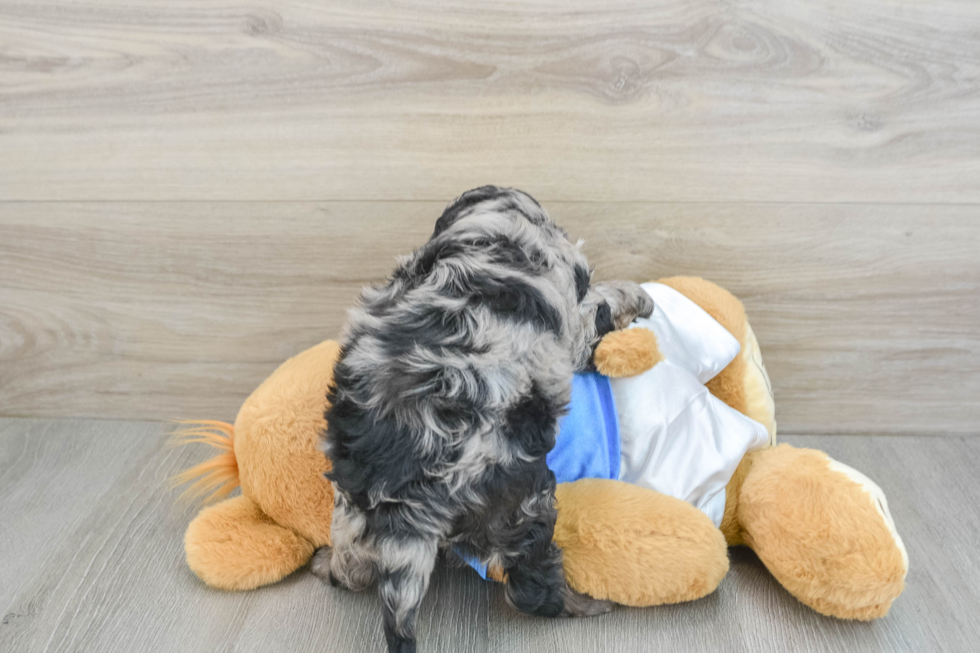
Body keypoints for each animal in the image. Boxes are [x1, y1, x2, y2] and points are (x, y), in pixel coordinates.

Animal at [314, 186, 652, 648]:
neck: (495, 235)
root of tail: (403, 490)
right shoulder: (577, 316)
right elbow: (602, 299)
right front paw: (637, 297)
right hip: (521, 500)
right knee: (530, 587)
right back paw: (584, 604)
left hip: (351, 505)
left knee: (352, 566)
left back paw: (327, 563)